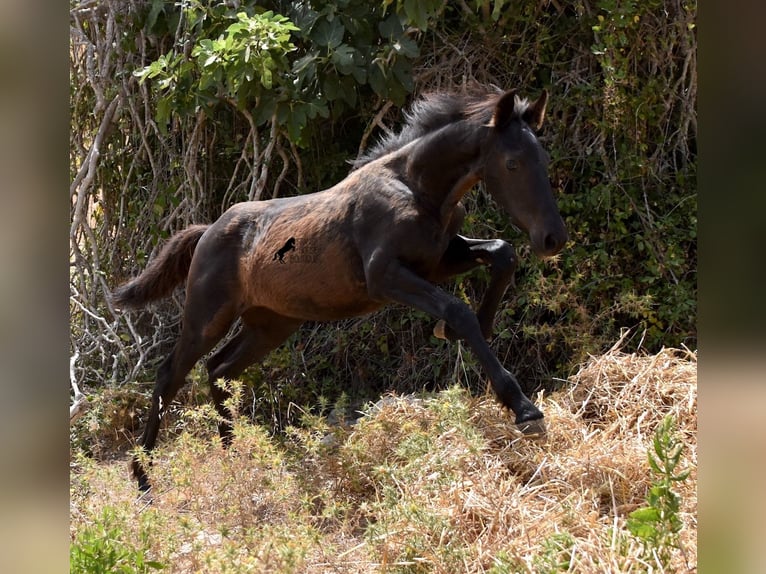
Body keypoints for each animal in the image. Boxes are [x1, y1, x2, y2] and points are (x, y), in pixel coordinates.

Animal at [114, 83, 568, 492]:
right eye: (512, 163)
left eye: (543, 157)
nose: (552, 238)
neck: (416, 188)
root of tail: (207, 230)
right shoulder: (385, 276)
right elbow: (456, 308)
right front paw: (524, 409)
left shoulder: (437, 261)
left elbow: (503, 253)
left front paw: (474, 327)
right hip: (208, 315)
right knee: (170, 375)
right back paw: (144, 479)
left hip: (272, 323)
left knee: (220, 369)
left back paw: (233, 457)